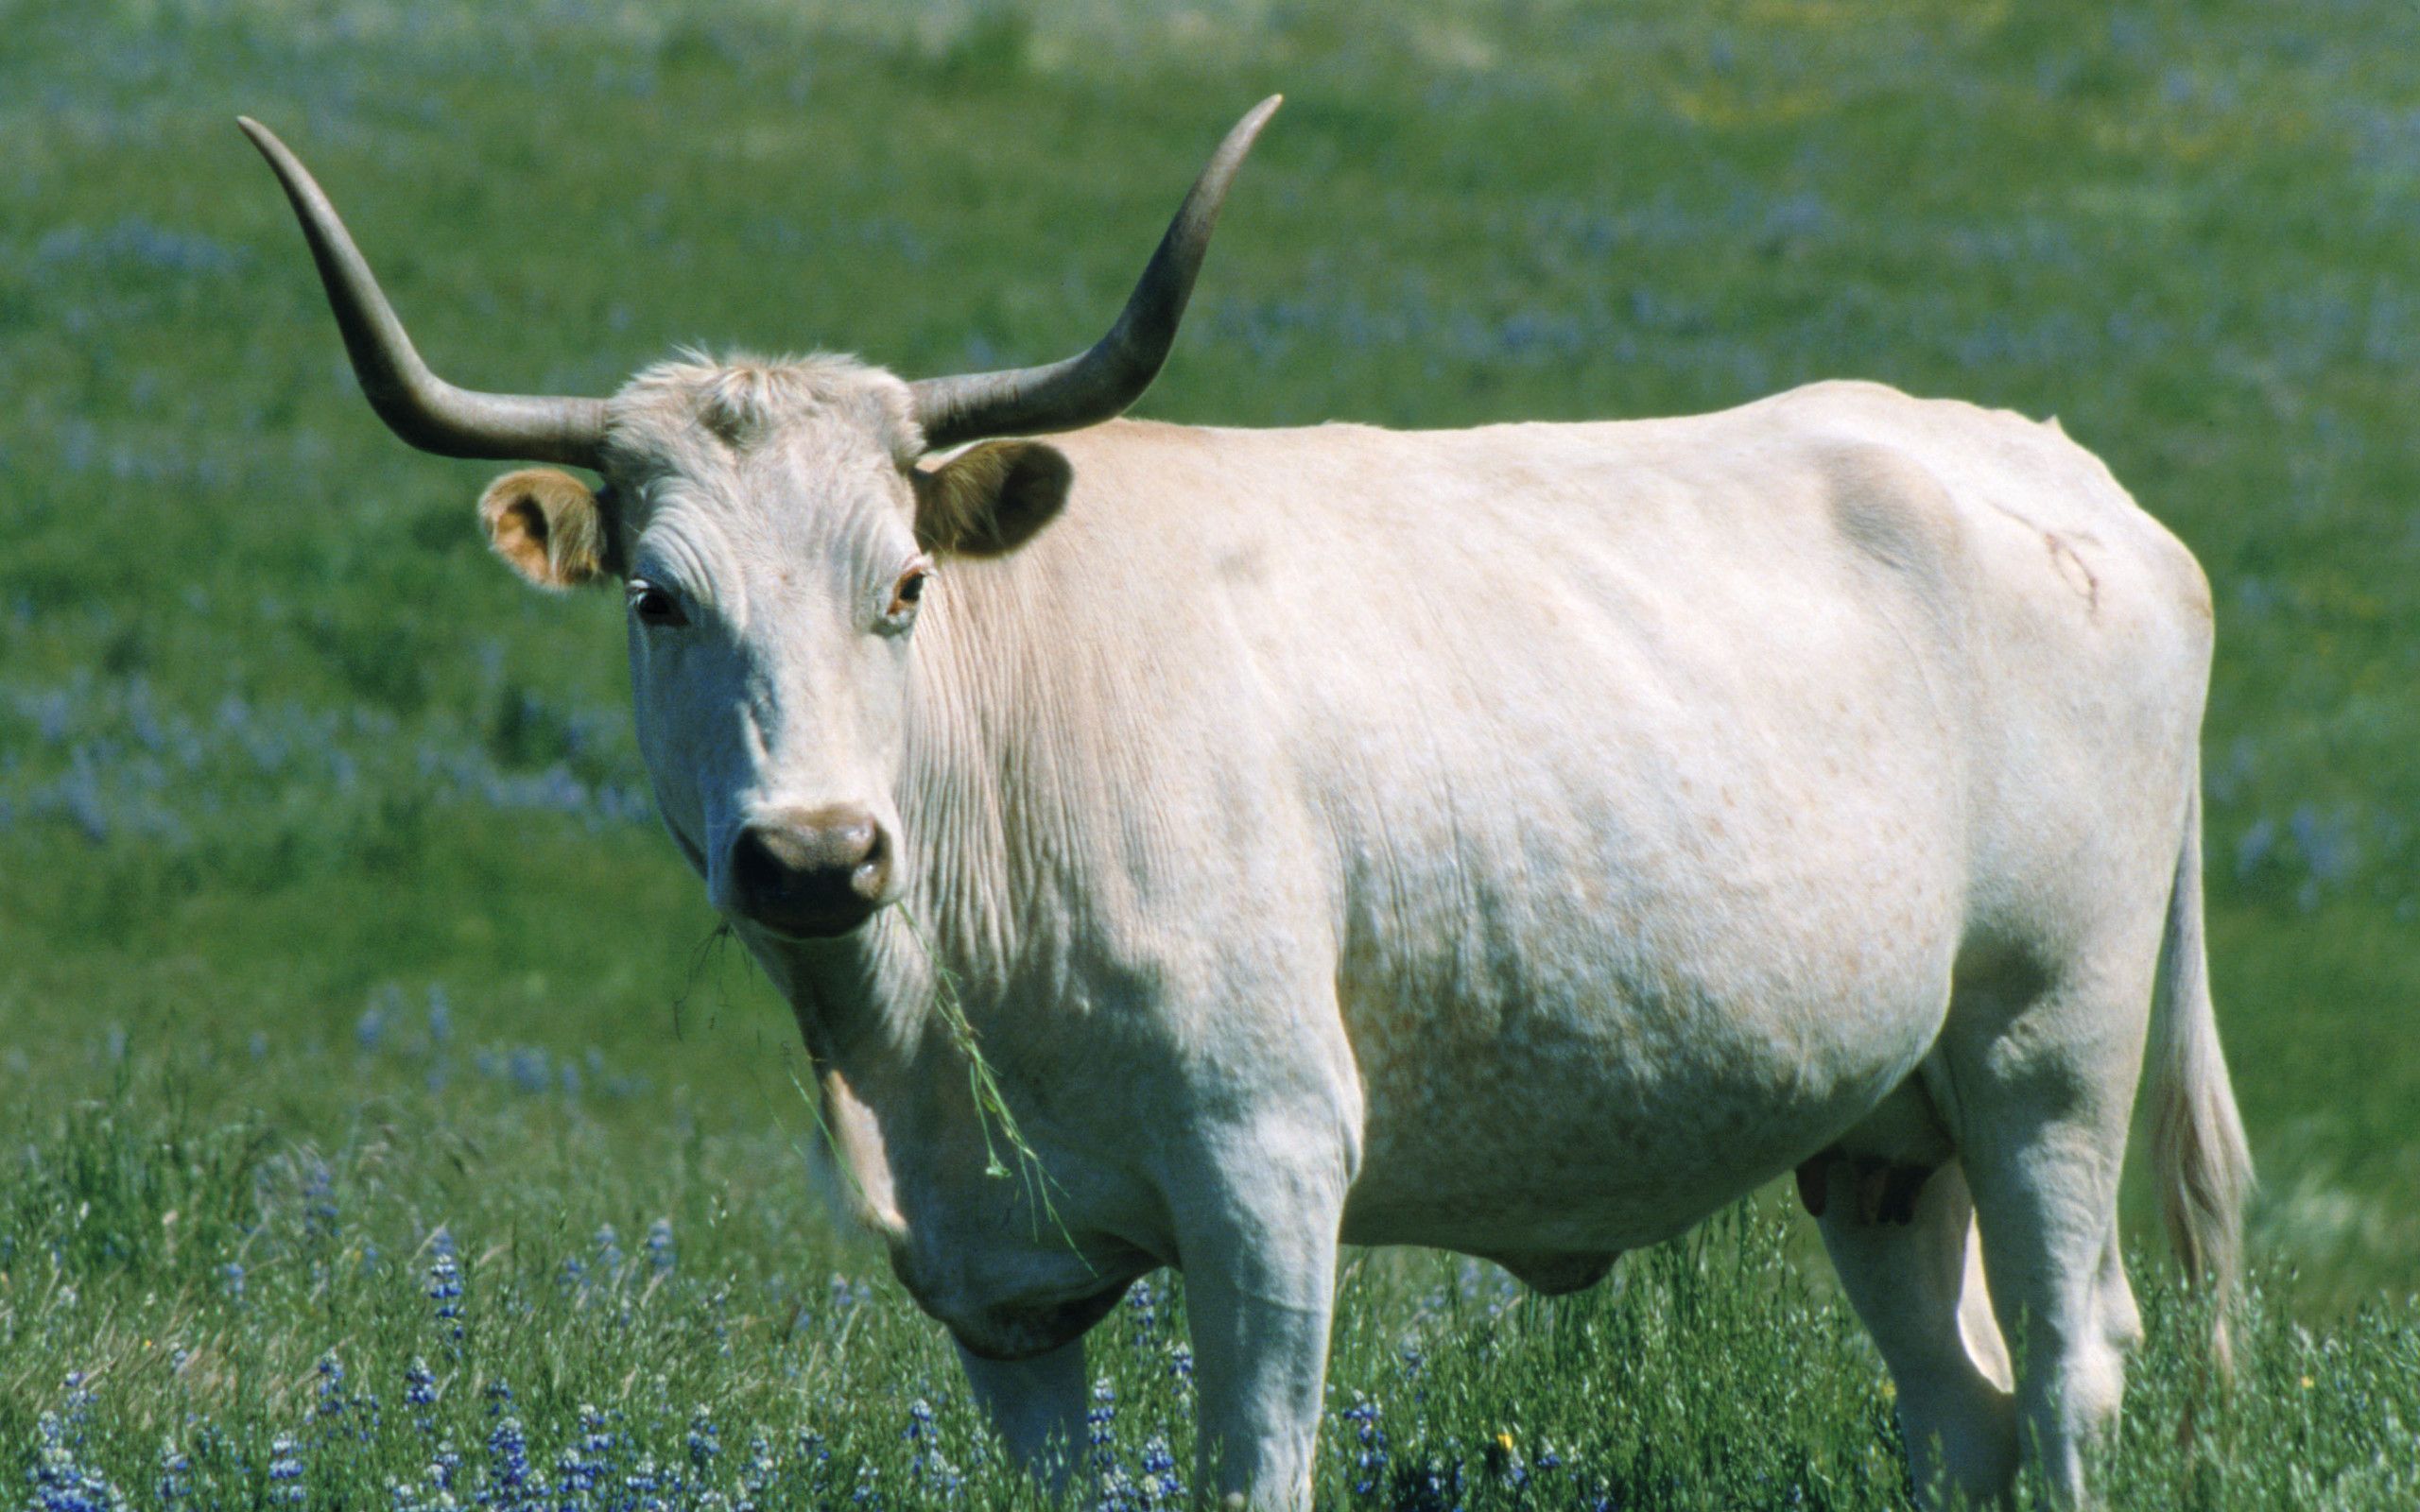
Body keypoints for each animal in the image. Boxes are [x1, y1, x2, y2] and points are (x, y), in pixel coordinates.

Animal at [242, 98, 2251, 1508]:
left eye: (902, 585)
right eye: (660, 598)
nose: (813, 854)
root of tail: (2064, 479)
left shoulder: (1270, 1171)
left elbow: (1254, 1467)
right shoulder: (999, 1279)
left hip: (2048, 1046)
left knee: (2074, 1366)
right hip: (1892, 1129)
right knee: (1961, 1409)